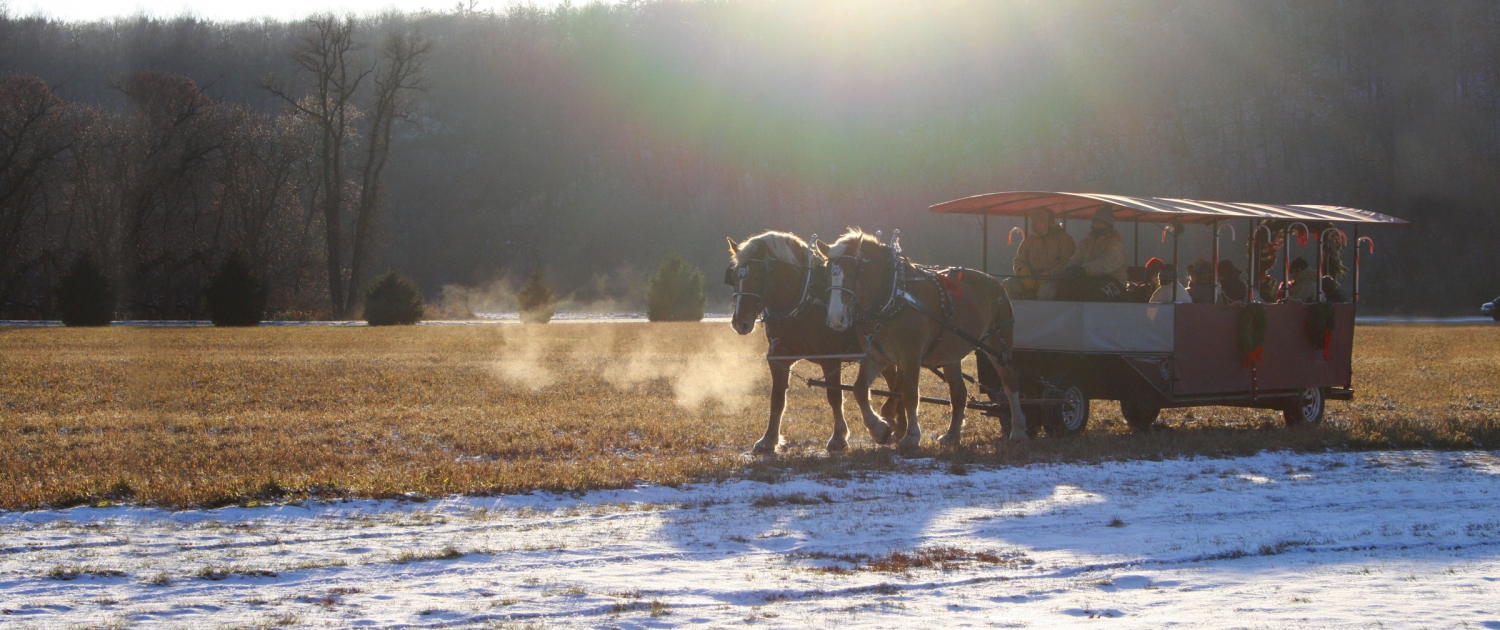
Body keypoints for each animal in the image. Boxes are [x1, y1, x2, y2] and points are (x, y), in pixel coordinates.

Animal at [725, 231, 905, 453]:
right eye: (734, 277)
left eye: (758, 277)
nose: (739, 323)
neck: (802, 300)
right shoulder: (779, 359)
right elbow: (777, 399)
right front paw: (769, 439)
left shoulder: (830, 358)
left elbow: (834, 397)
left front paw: (838, 437)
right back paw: (898, 425)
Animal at [816, 229, 1027, 448]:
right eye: (827, 274)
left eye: (855, 272)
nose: (835, 319)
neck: (892, 298)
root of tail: (995, 282)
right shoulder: (876, 356)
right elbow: (859, 389)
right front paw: (880, 429)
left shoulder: (910, 355)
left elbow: (909, 394)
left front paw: (911, 436)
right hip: (950, 353)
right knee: (959, 393)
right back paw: (952, 434)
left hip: (998, 344)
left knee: (1010, 383)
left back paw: (1018, 430)